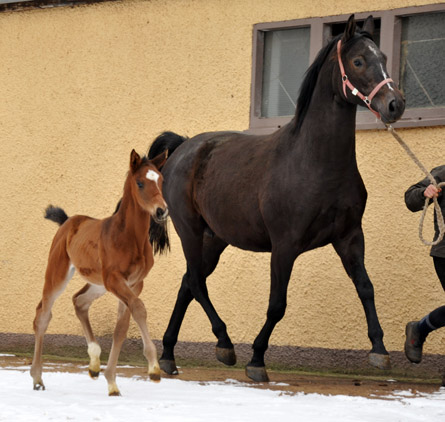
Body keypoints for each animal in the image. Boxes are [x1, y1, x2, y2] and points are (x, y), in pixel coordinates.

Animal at [29, 149, 168, 396]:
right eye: (140, 183)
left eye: (160, 180)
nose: (162, 211)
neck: (130, 237)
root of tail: (67, 222)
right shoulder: (115, 280)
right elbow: (139, 308)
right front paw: (153, 369)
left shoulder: (134, 284)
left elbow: (121, 328)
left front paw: (112, 382)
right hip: (58, 273)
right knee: (43, 315)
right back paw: (37, 377)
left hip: (97, 283)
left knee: (79, 301)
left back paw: (94, 363)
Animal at [148, 14, 402, 382]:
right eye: (358, 61)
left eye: (382, 57)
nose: (396, 105)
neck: (314, 162)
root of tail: (182, 147)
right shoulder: (285, 245)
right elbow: (277, 304)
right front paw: (256, 359)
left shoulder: (350, 237)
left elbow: (365, 287)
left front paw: (380, 351)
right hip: (190, 231)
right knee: (196, 283)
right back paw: (224, 345)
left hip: (214, 238)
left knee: (187, 284)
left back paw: (168, 355)